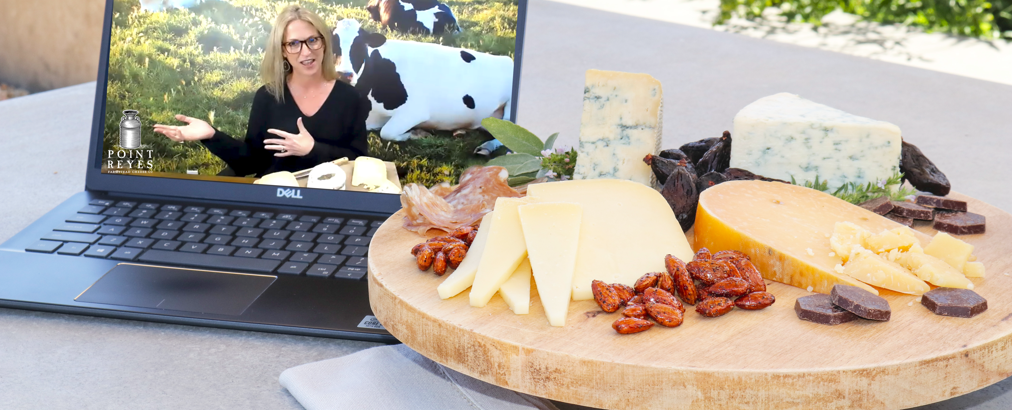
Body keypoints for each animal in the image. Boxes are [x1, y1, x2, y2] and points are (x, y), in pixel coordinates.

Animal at [333, 19, 514, 142]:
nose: (344, 74)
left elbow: (387, 132)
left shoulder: (414, 111)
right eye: (333, 45)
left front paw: (417, 133)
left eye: (360, 46)